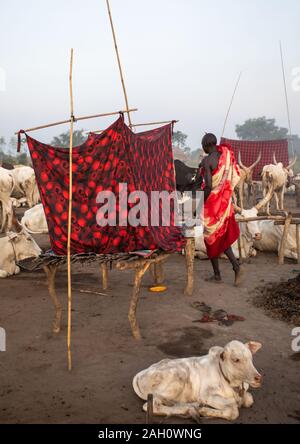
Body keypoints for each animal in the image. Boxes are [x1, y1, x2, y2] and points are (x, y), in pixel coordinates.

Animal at [134, 342, 262, 422]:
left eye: (251, 357)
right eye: (236, 360)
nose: (258, 378)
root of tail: (140, 374)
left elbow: (249, 400)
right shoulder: (206, 395)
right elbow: (233, 409)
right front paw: (204, 410)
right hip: (176, 378)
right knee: (151, 406)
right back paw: (192, 408)